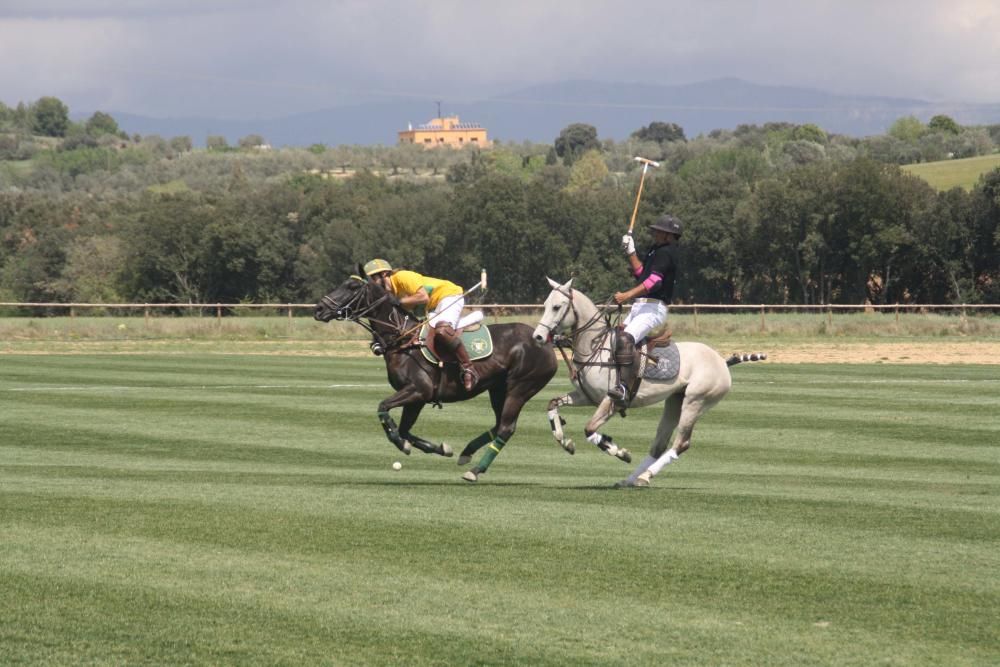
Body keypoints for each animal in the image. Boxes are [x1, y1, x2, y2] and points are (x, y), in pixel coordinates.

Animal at [314, 268, 560, 482]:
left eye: (352, 286)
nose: (318, 309)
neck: (404, 341)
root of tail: (546, 341)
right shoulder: (417, 399)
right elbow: (405, 429)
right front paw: (442, 448)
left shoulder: (418, 390)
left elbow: (383, 409)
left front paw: (401, 445)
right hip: (498, 389)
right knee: (499, 424)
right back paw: (466, 453)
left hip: (520, 387)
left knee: (507, 428)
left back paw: (475, 470)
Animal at [532, 278, 764, 490]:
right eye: (545, 304)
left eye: (557, 307)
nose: (538, 337)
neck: (594, 347)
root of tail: (722, 361)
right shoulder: (587, 397)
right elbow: (552, 404)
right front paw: (566, 442)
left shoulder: (611, 399)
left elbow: (589, 429)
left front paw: (619, 451)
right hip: (675, 400)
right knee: (659, 445)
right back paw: (631, 479)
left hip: (696, 401)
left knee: (681, 443)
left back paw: (645, 476)